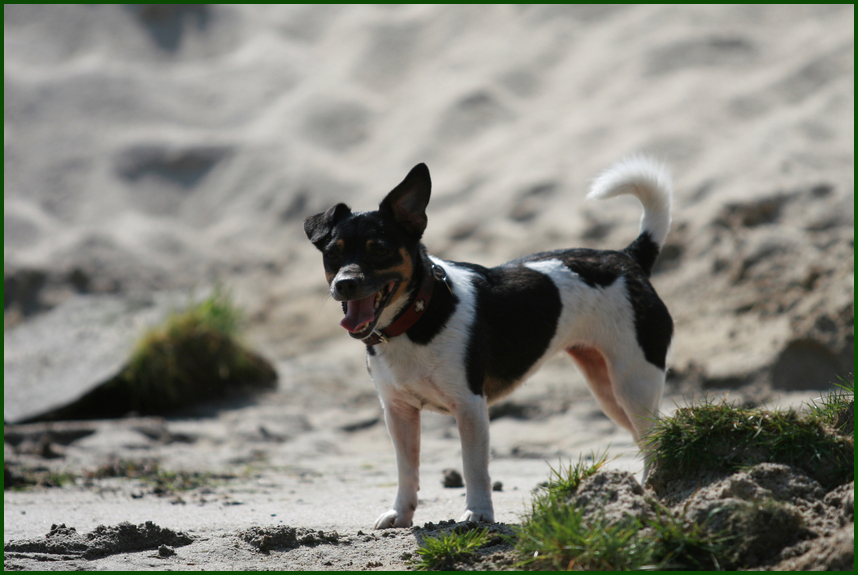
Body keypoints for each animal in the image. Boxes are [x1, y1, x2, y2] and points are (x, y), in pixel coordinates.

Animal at [304, 158, 672, 532]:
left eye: (379, 250)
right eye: (331, 255)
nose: (345, 283)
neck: (416, 317)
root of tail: (627, 259)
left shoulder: (470, 407)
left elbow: (473, 467)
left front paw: (478, 514)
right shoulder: (398, 411)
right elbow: (407, 468)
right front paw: (401, 514)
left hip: (634, 383)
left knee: (653, 436)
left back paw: (652, 492)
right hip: (607, 389)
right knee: (645, 437)